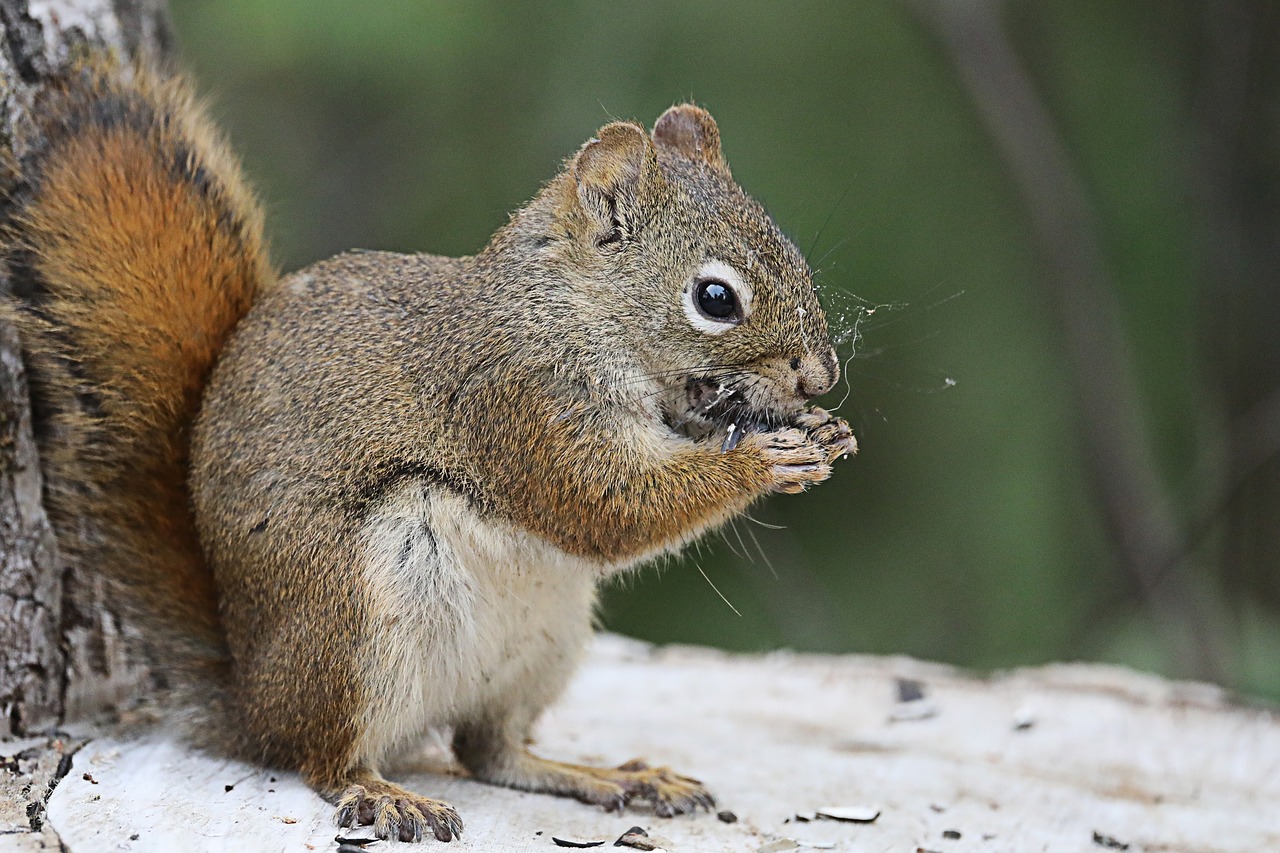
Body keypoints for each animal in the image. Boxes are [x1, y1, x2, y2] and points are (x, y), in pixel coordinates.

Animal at [2, 54, 860, 845]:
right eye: (714, 298)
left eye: (790, 250)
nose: (821, 375)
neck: (572, 309)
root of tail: (251, 698)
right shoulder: (516, 402)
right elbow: (600, 505)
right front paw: (759, 461)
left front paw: (824, 433)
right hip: (353, 622)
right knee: (321, 756)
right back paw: (382, 792)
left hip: (544, 640)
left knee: (490, 749)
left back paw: (609, 775)